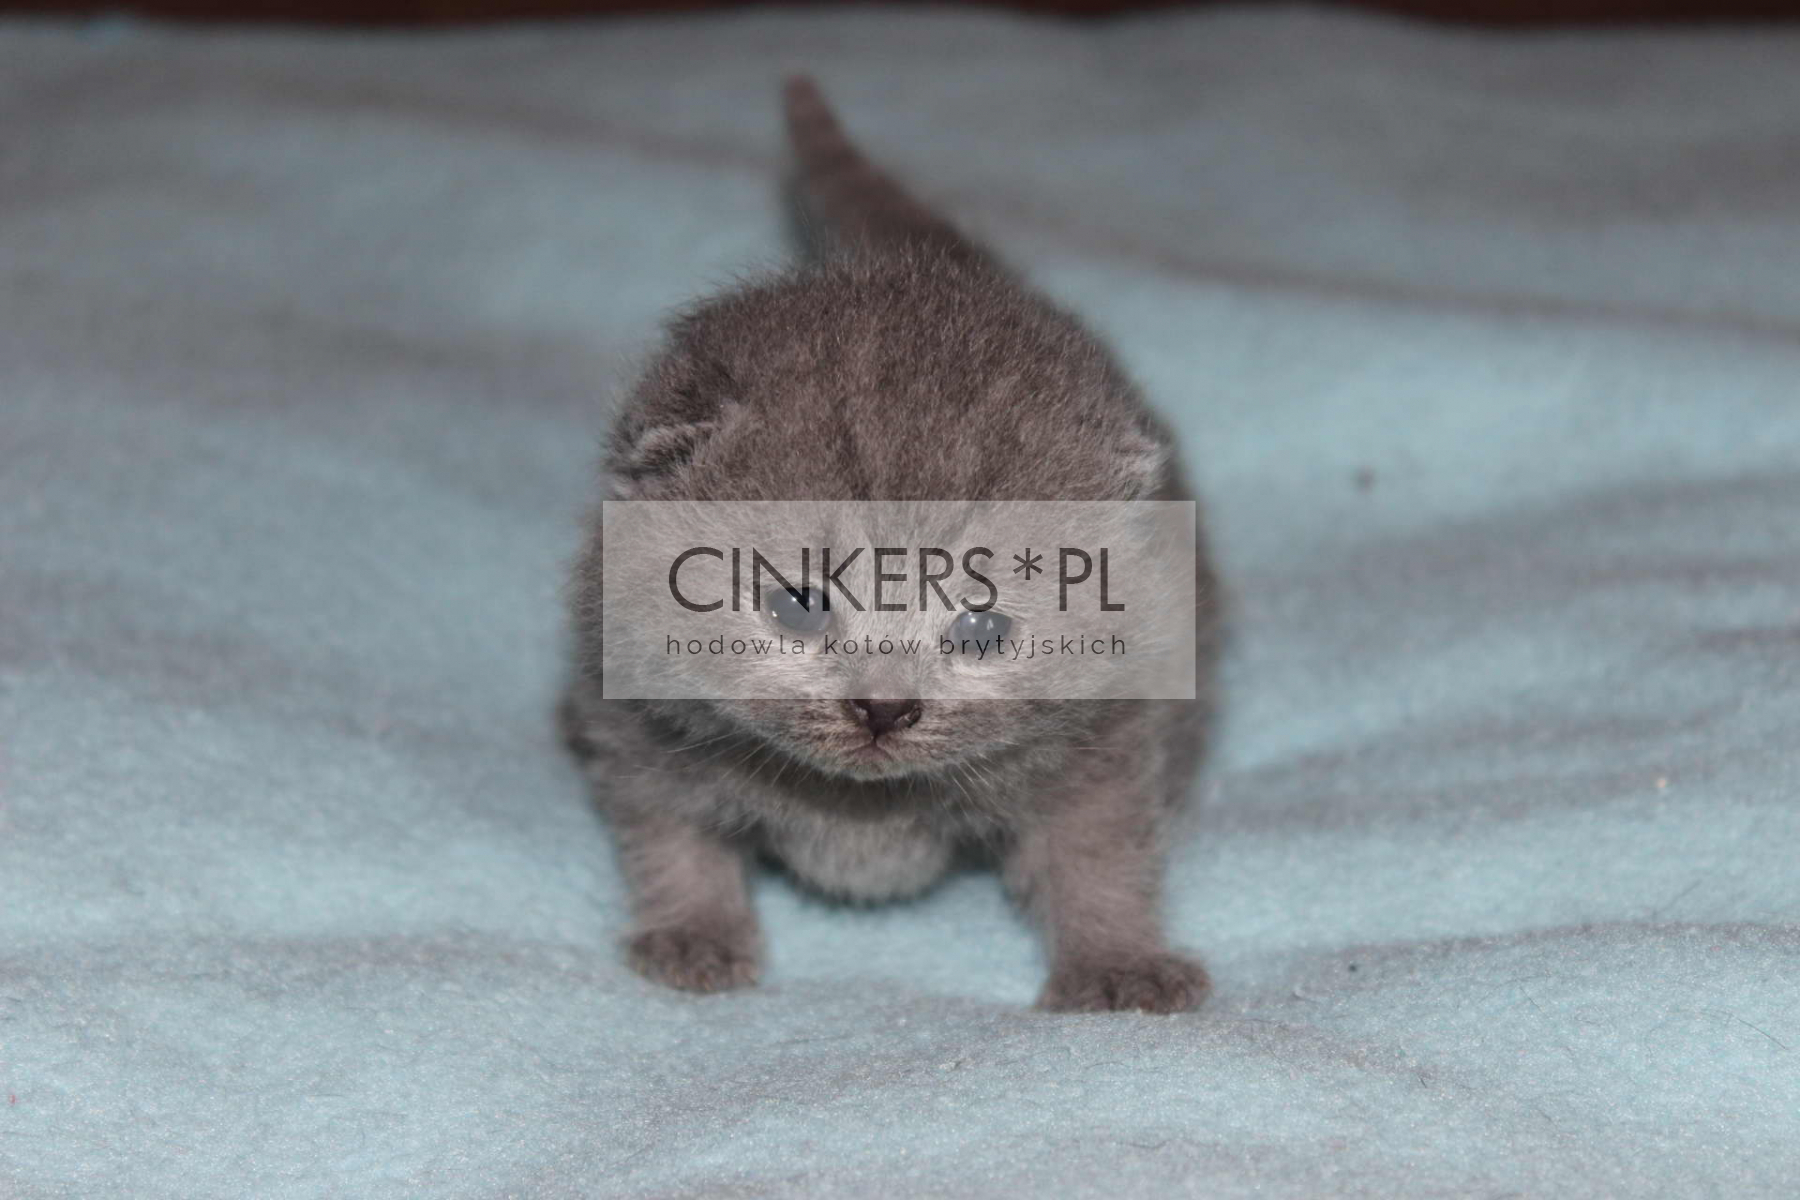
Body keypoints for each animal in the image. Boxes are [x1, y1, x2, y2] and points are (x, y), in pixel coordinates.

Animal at [562, 77, 1222, 1013]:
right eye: (799, 606)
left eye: (983, 628)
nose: (882, 708)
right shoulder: (636, 724)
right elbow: (673, 839)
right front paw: (694, 933)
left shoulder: (1108, 740)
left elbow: (1100, 857)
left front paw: (1117, 964)